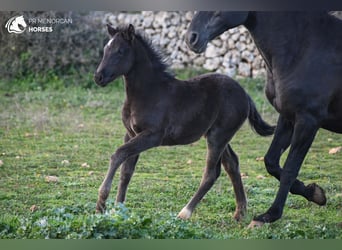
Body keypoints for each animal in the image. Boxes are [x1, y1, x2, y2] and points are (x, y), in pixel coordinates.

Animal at [93, 23, 276, 219]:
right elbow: (126, 171)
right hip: (218, 136)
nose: (98, 77)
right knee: (232, 164)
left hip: (218, 137)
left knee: (211, 173)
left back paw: (185, 213)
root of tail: (245, 94)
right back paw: (240, 212)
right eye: (105, 50)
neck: (148, 92)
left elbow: (118, 154)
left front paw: (101, 203)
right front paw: (118, 210)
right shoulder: (130, 134)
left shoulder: (152, 136)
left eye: (120, 51)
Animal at [186, 11, 342, 227]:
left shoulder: (308, 120)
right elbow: (272, 162)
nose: (191, 38)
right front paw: (315, 193)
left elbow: (290, 169)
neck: (305, 47)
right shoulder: (288, 117)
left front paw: (269, 215)